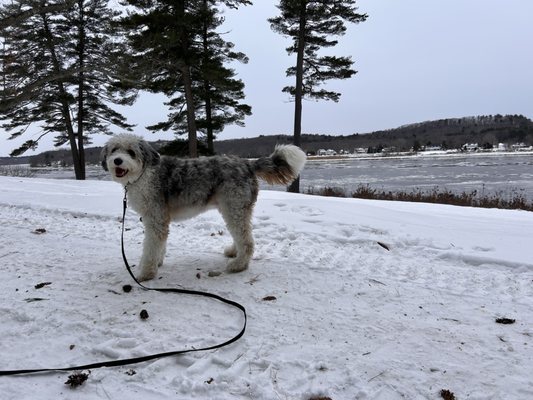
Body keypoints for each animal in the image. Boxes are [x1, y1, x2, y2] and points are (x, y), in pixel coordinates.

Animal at [101, 134, 306, 282]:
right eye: (114, 150)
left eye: (131, 152)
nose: (117, 160)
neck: (143, 174)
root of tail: (247, 163)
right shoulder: (159, 219)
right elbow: (159, 245)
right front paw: (158, 262)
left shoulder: (155, 218)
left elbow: (150, 248)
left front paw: (146, 273)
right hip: (234, 208)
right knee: (242, 234)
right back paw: (234, 252)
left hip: (234, 207)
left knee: (246, 240)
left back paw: (238, 265)